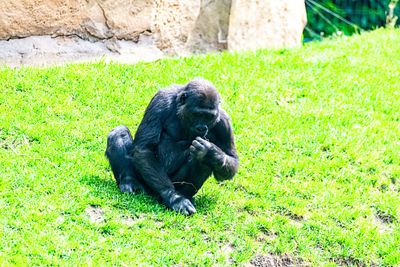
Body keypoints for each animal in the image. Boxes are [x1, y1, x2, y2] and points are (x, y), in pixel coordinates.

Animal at [104, 79, 239, 216]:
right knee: (119, 132)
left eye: (209, 117)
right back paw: (129, 181)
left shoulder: (224, 122)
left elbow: (231, 161)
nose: (202, 128)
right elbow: (144, 149)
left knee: (203, 161)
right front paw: (174, 197)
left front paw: (209, 152)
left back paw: (185, 193)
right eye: (198, 114)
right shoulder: (160, 101)